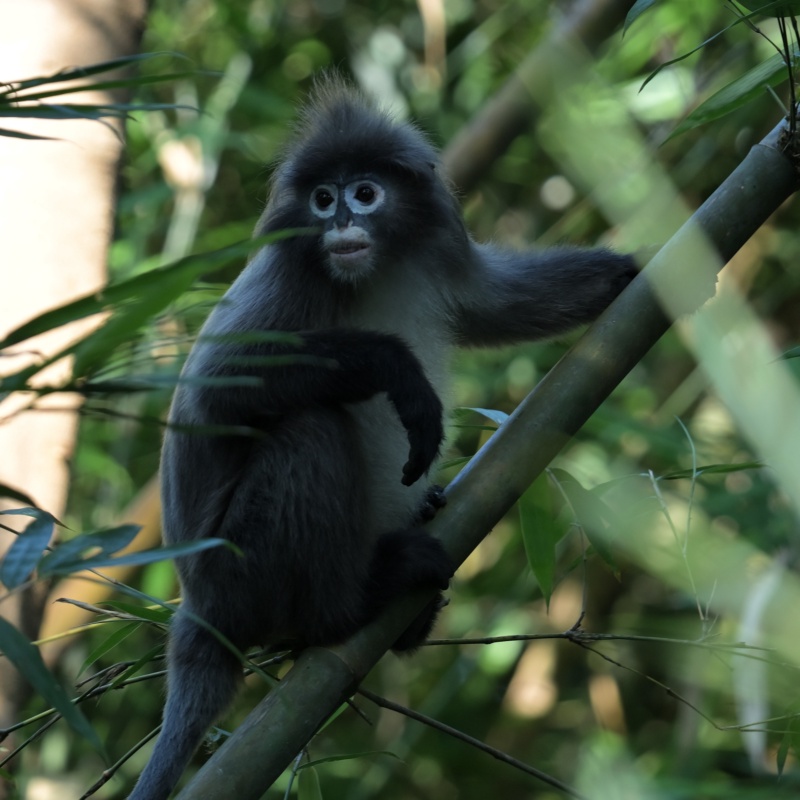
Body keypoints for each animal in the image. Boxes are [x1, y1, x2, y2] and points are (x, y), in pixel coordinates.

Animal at [126, 76, 638, 800]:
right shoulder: (285, 277)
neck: (372, 270)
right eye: (322, 199)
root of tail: (197, 614)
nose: (341, 222)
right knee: (310, 428)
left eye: (364, 193)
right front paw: (396, 368)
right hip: (237, 574)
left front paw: (639, 273)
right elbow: (215, 391)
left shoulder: (439, 256)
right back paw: (352, 607)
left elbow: (496, 302)